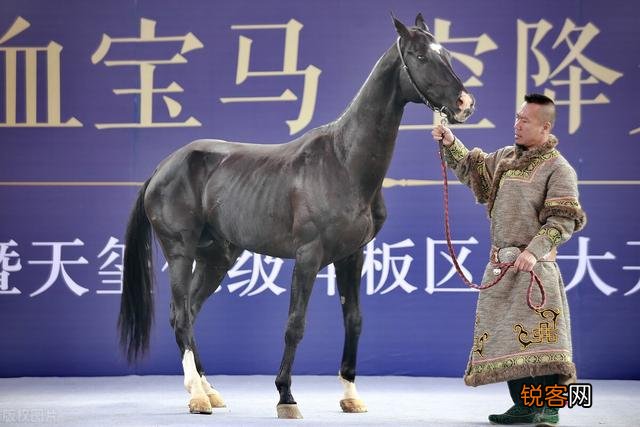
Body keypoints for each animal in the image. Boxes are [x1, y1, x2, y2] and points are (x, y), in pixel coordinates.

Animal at [119, 13, 474, 419]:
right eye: (420, 56)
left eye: (447, 53)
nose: (465, 103)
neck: (343, 163)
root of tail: (161, 169)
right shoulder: (308, 256)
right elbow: (295, 324)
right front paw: (286, 396)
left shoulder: (352, 256)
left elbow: (354, 320)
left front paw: (350, 395)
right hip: (181, 251)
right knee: (180, 315)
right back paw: (196, 395)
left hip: (216, 257)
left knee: (191, 312)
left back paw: (210, 390)